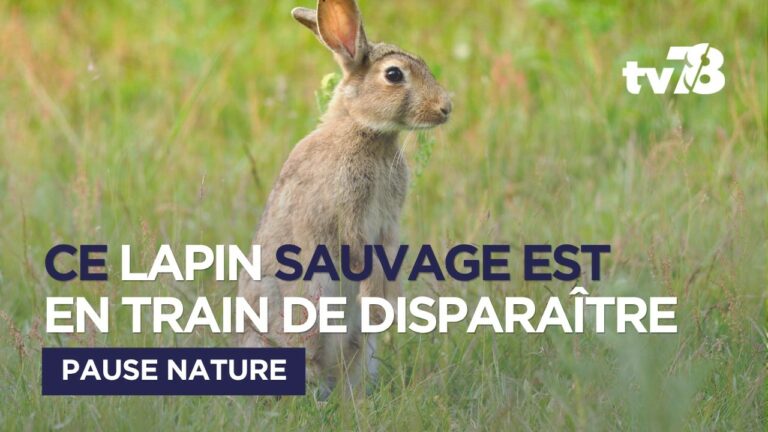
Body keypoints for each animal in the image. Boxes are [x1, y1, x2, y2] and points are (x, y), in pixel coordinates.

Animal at [238, 0, 452, 399]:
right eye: (394, 75)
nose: (446, 108)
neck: (363, 128)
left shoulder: (388, 222)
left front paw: (389, 306)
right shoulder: (349, 216)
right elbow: (359, 254)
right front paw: (378, 306)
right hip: (308, 307)